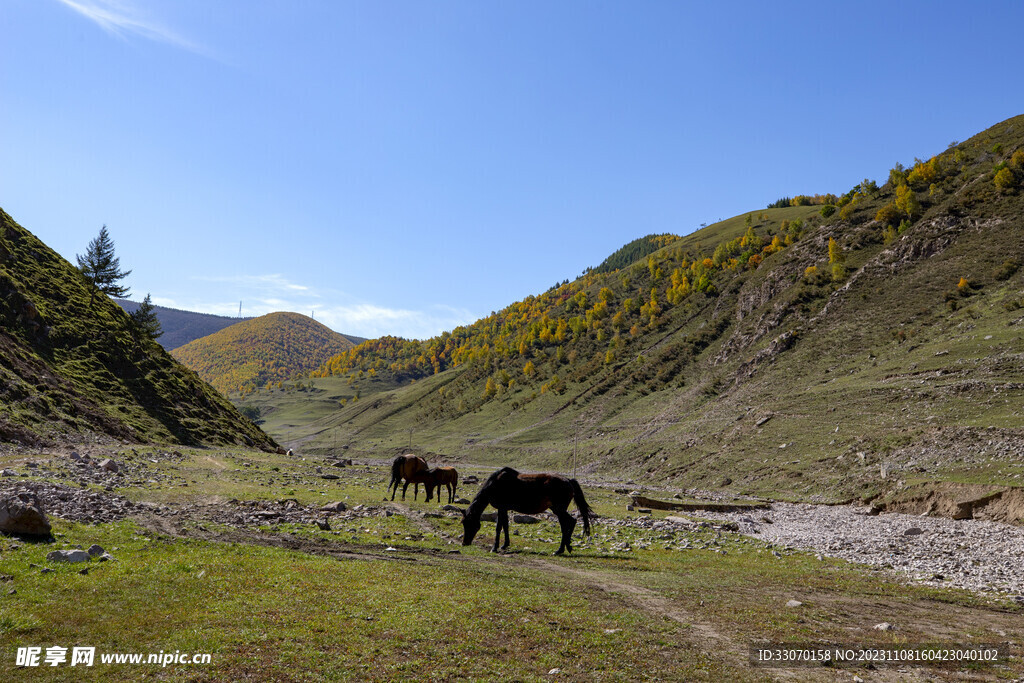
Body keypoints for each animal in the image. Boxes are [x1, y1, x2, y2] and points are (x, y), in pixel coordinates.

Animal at [462, 464, 598, 557]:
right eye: (463, 523)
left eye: (469, 523)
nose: (464, 543)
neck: (495, 484)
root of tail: (569, 480)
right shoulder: (504, 509)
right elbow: (505, 525)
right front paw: (505, 544)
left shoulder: (501, 508)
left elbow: (499, 527)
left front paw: (494, 548)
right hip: (558, 509)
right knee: (568, 523)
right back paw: (566, 548)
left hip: (559, 509)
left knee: (569, 523)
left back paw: (560, 550)